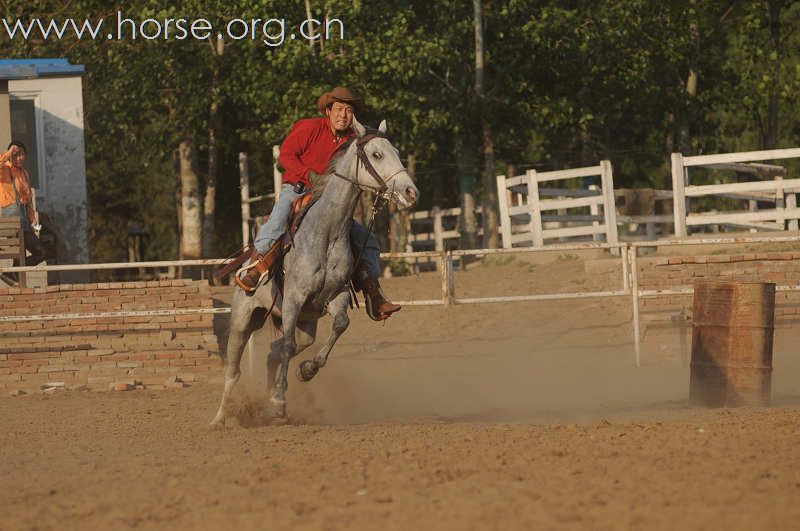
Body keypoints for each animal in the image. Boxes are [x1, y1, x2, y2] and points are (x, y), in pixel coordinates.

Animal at [212, 118, 418, 426]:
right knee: (234, 370)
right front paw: (280, 403)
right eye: (377, 154)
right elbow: (287, 346)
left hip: (306, 325)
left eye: (396, 151)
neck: (327, 232)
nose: (411, 192)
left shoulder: (335, 295)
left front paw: (306, 371)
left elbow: (340, 324)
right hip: (243, 320)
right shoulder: (293, 299)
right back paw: (221, 418)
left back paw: (267, 398)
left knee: (274, 353)